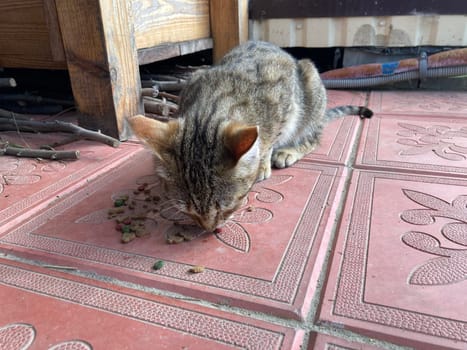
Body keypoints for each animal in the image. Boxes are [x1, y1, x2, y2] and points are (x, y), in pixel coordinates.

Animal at [128, 41, 372, 231]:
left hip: (311, 89)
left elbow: (270, 141)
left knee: (313, 138)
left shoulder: (284, 105)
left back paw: (288, 151)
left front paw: (263, 162)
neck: (211, 105)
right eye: (189, 212)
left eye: (226, 207)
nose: (208, 229)